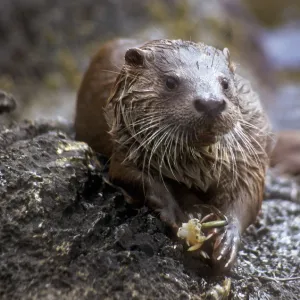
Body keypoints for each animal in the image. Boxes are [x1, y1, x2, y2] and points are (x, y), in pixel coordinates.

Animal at [75, 38, 272, 270]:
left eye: (225, 83)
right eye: (170, 82)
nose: (210, 103)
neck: (198, 167)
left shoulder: (248, 158)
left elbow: (248, 194)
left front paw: (227, 238)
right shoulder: (126, 151)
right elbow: (143, 182)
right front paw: (180, 216)